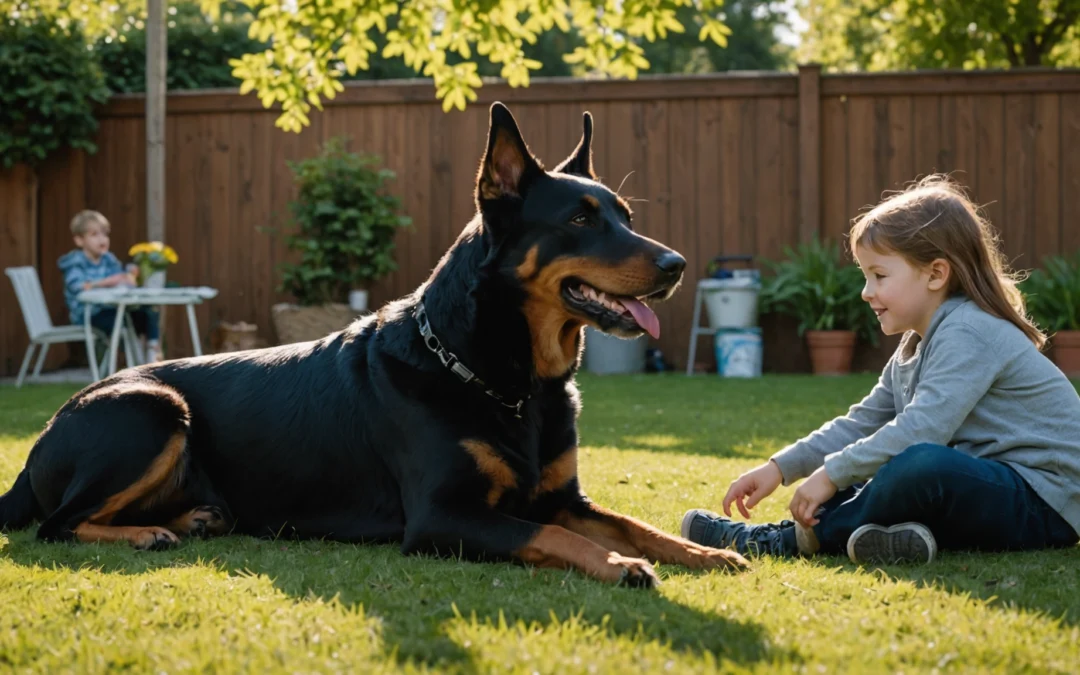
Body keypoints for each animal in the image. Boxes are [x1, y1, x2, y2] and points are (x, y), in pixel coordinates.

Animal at [0, 102, 747, 587]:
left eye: (623, 215)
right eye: (581, 220)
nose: (678, 264)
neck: (507, 380)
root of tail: (40, 440)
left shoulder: (565, 496)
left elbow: (632, 523)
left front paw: (704, 552)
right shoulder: (443, 516)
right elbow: (554, 535)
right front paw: (621, 566)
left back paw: (191, 519)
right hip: (153, 407)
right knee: (55, 523)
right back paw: (143, 531)